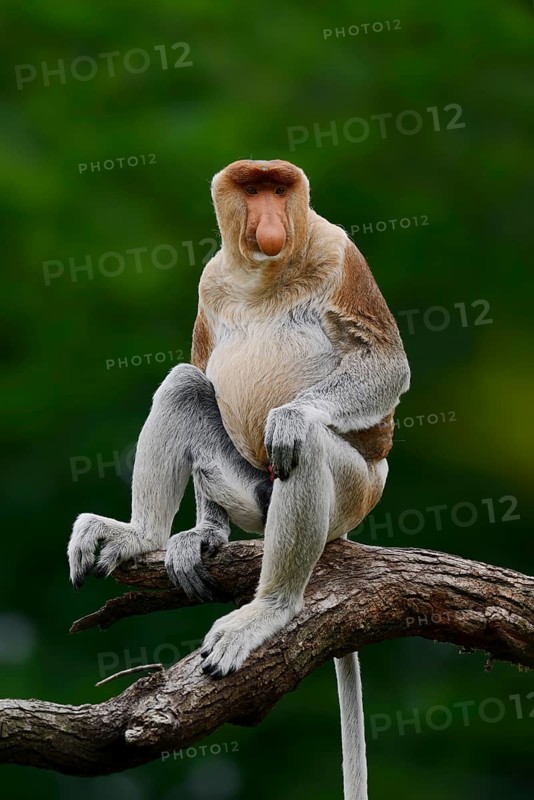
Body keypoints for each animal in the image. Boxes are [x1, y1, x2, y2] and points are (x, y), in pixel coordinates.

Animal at [68, 159, 410, 800]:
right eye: (251, 190)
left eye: (279, 189)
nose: (270, 219)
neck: (265, 274)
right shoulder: (211, 279)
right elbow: (203, 366)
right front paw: (203, 535)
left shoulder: (338, 249)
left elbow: (384, 363)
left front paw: (291, 416)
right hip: (249, 488)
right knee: (184, 383)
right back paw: (145, 536)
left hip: (355, 492)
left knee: (308, 452)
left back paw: (270, 608)